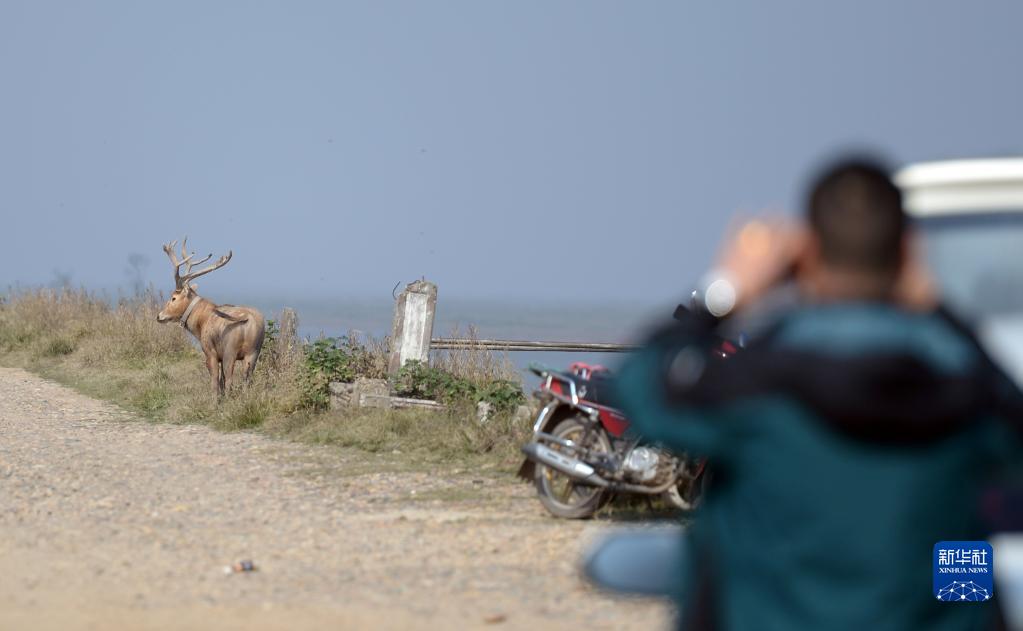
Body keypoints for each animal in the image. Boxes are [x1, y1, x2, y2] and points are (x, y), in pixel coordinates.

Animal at [155, 238, 265, 396]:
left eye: (173, 298)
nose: (159, 316)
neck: (200, 324)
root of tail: (248, 321)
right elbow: (221, 382)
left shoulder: (210, 352)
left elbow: (215, 383)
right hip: (254, 351)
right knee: (246, 380)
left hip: (230, 350)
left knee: (230, 380)